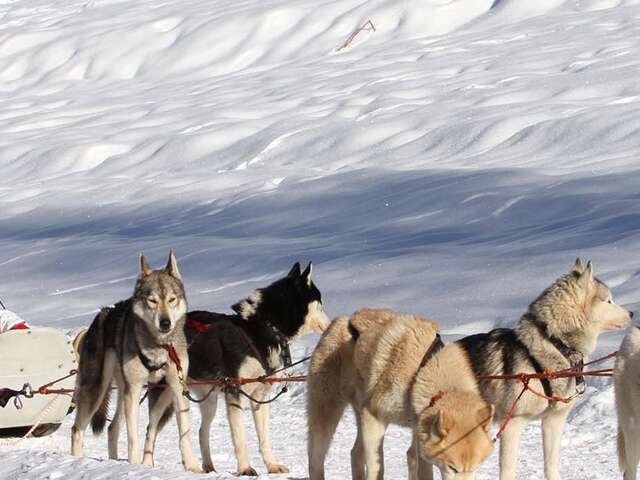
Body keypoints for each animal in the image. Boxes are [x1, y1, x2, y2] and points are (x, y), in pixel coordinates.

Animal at [70, 253, 198, 470]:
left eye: (172, 299)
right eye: (152, 301)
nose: (165, 322)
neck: (158, 346)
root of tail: (102, 314)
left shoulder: (176, 386)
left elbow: (184, 433)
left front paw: (191, 467)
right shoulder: (136, 387)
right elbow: (133, 437)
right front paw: (136, 464)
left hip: (138, 392)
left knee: (114, 428)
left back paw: (114, 461)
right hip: (99, 390)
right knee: (77, 430)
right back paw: (76, 460)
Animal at [146, 262, 330, 476]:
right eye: (321, 303)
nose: (331, 324)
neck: (263, 328)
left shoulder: (260, 397)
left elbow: (264, 439)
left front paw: (272, 465)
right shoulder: (234, 391)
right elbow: (240, 437)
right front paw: (245, 468)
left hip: (207, 399)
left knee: (201, 431)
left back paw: (209, 467)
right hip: (165, 395)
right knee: (151, 429)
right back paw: (145, 464)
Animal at [308, 310, 496, 478]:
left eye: (475, 467)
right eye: (453, 468)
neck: (422, 370)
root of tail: (343, 319)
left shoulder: (420, 435)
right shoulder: (373, 419)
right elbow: (377, 468)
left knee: (355, 454)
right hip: (327, 416)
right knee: (316, 460)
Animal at [458, 258, 632, 480]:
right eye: (609, 300)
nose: (632, 313)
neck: (556, 344)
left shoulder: (553, 421)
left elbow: (551, 465)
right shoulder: (512, 423)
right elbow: (508, 469)